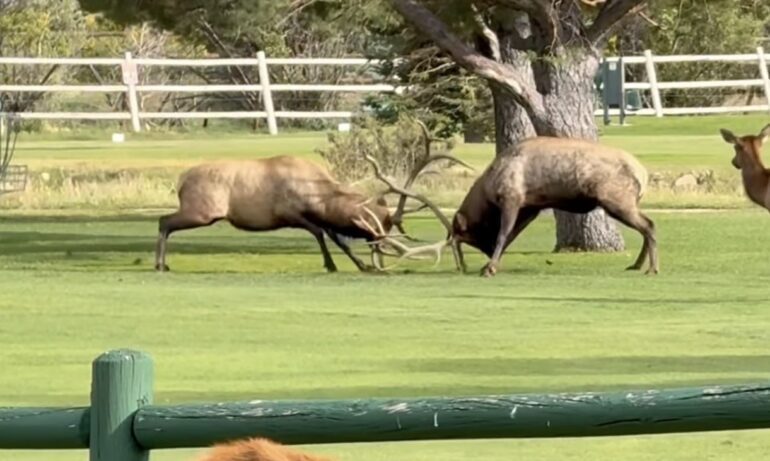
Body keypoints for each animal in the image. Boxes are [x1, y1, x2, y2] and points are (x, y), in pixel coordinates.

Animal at [155, 155, 403, 273]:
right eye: (378, 226)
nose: (381, 251)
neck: (318, 197)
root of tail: (181, 180)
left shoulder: (318, 217)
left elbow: (338, 239)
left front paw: (362, 265)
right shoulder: (290, 213)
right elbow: (319, 233)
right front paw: (330, 264)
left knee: (164, 221)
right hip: (203, 211)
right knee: (164, 220)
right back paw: (160, 264)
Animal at [450, 136, 658, 277]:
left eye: (462, 234)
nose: (461, 266)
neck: (487, 192)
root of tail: (644, 175)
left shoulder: (512, 198)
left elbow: (503, 234)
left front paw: (490, 267)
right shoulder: (530, 208)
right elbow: (510, 236)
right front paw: (490, 265)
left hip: (617, 200)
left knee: (649, 225)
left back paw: (652, 268)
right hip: (625, 202)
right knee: (647, 226)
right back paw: (637, 265)